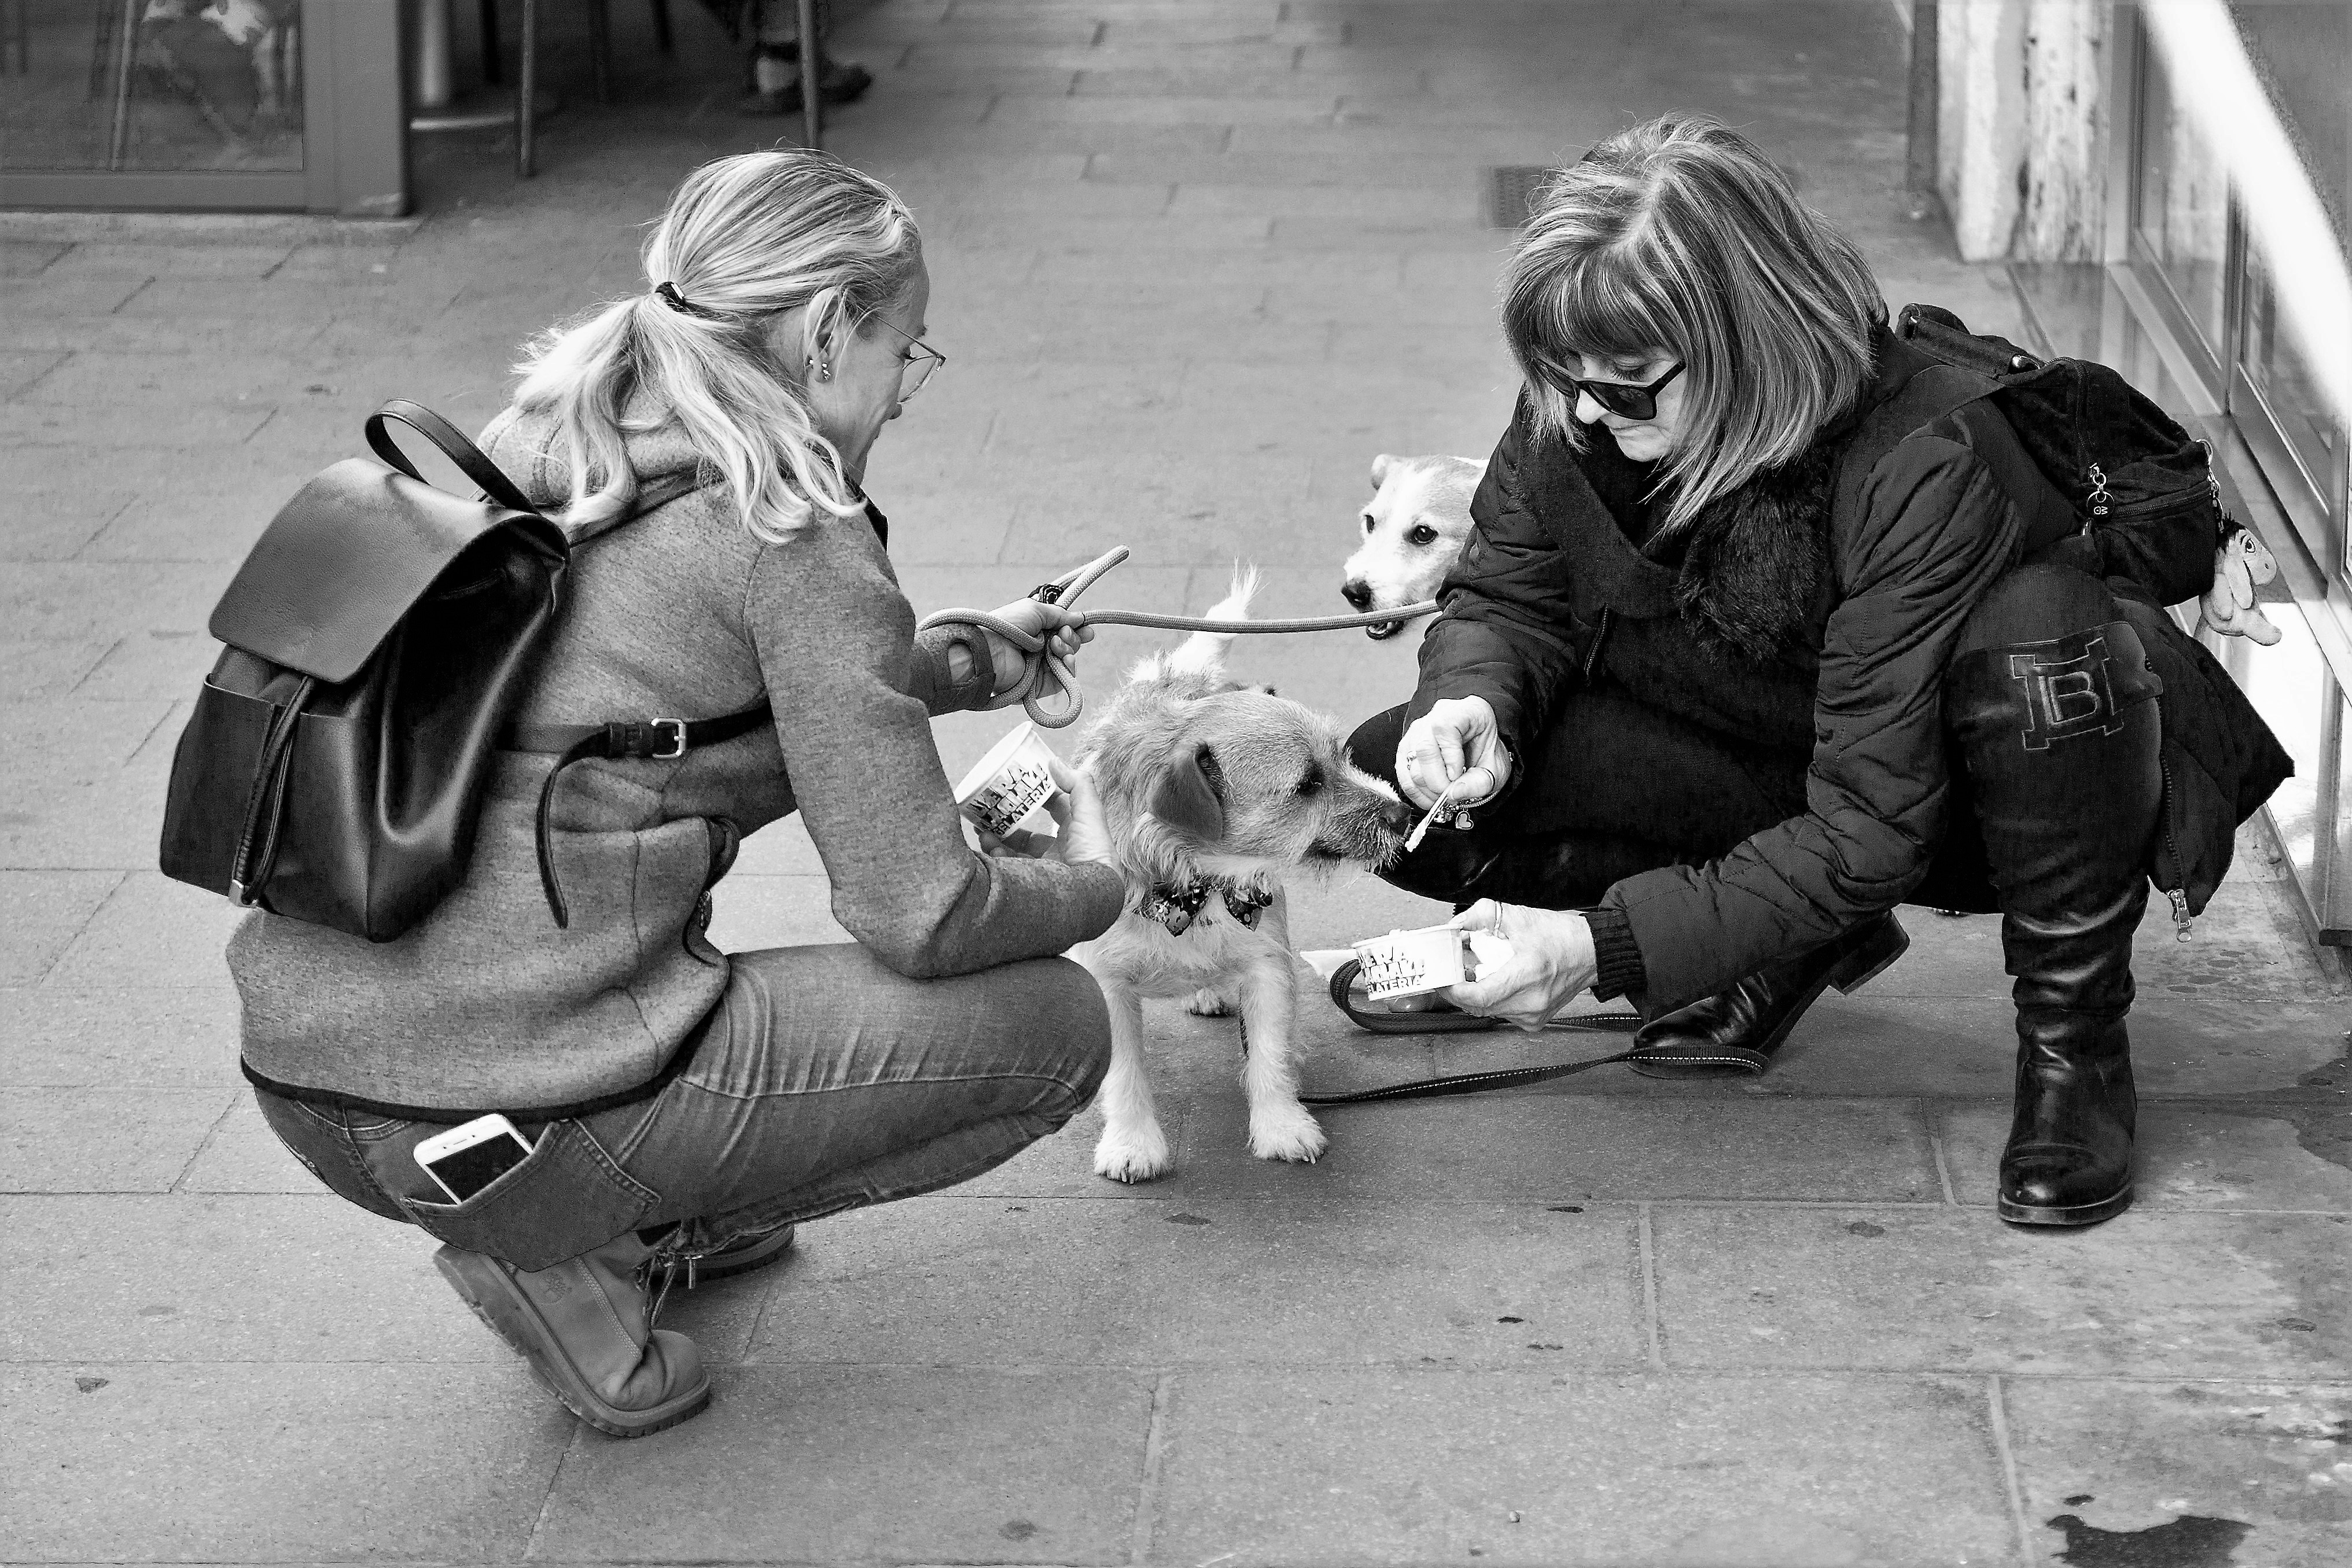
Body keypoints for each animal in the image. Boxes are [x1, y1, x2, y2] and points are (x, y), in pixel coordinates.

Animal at [1077, 571, 1401, 1184]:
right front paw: (1132, 1144)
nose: (1405, 814)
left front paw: (1282, 1126)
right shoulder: (1107, 987)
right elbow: (1125, 1075)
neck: (1192, 888)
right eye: (1307, 785)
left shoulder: (1266, 967)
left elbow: (1268, 1059)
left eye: (1340, 756)